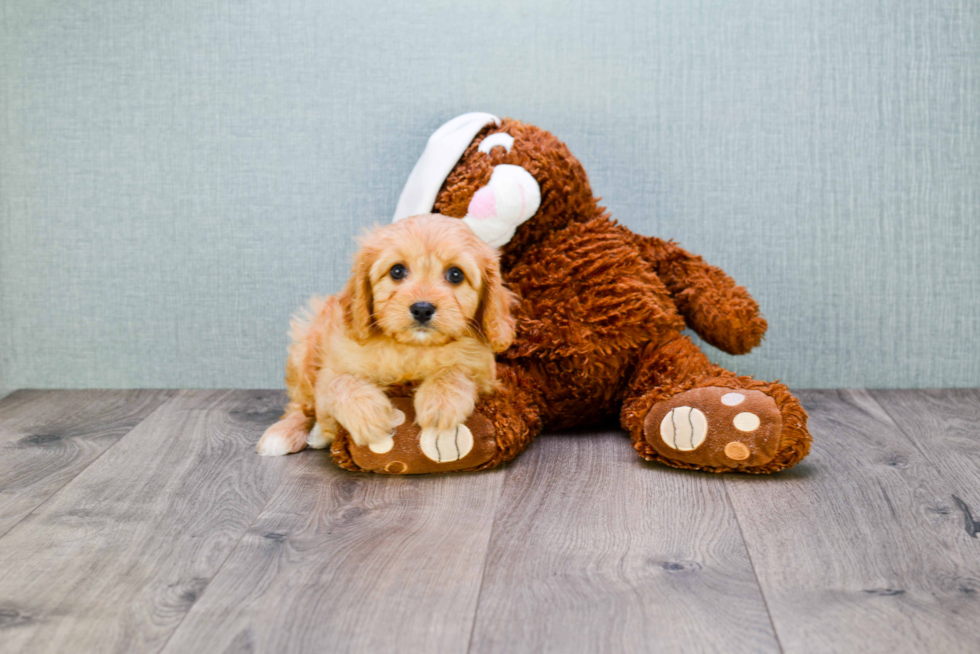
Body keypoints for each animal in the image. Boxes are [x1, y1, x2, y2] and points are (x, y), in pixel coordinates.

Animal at [253, 215, 516, 462]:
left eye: (455, 275)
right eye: (397, 271)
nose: (422, 309)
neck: (412, 348)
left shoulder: (485, 376)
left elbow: (458, 369)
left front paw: (441, 401)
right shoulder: (332, 366)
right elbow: (339, 382)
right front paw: (368, 416)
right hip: (305, 344)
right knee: (300, 405)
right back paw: (287, 432)